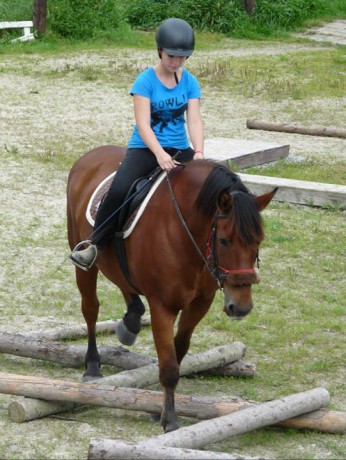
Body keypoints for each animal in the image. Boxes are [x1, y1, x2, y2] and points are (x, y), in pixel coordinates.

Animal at [67, 146, 278, 434]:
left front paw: (160, 409)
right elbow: (168, 366)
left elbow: (177, 355)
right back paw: (92, 365)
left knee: (126, 286)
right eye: (224, 240)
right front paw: (169, 420)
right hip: (84, 261)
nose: (241, 306)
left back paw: (131, 322)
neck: (186, 234)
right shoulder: (162, 307)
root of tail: (91, 155)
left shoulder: (200, 303)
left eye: (258, 241)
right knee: (90, 309)